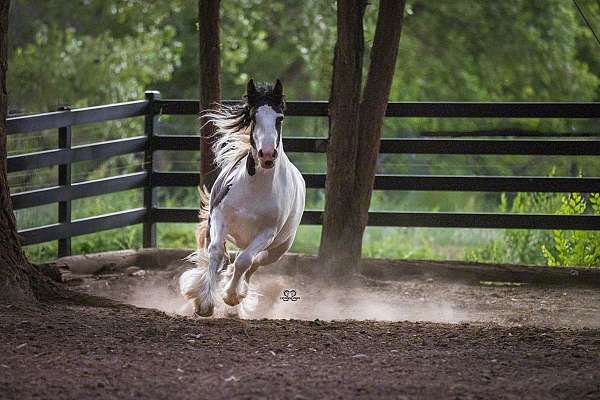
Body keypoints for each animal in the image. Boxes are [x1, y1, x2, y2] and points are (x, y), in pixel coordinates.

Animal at [178, 77, 304, 316]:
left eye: (279, 118)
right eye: (254, 117)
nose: (267, 154)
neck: (254, 188)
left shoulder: (267, 234)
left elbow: (244, 261)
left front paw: (231, 296)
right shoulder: (219, 218)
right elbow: (216, 253)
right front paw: (204, 302)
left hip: (278, 248)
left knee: (254, 262)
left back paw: (237, 294)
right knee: (222, 255)